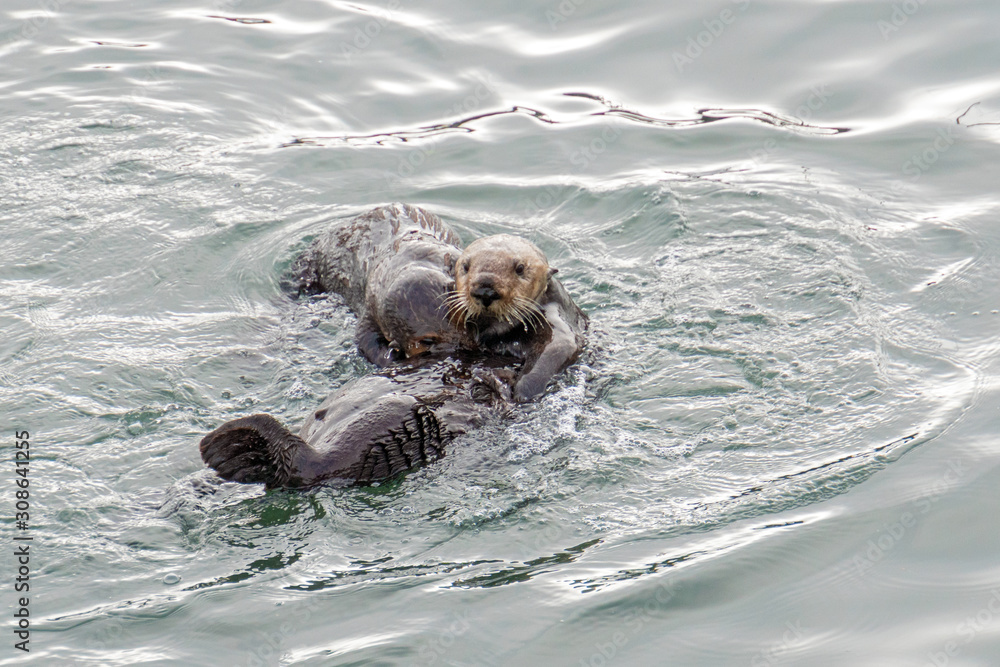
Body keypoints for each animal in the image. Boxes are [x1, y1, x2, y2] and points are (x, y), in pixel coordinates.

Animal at [446, 235, 587, 402]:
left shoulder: (553, 314)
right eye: (466, 267)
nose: (485, 291)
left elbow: (560, 346)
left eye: (520, 268)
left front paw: (520, 387)